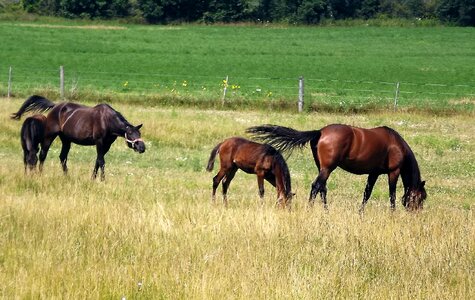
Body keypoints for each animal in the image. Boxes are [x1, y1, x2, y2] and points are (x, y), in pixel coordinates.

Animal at [11, 95, 145, 180]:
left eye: (139, 134)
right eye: (131, 134)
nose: (142, 147)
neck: (107, 120)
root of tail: (55, 106)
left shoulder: (107, 145)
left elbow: (98, 160)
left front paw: (93, 178)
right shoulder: (99, 142)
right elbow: (101, 161)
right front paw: (103, 179)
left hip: (66, 140)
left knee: (62, 157)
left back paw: (67, 176)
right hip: (50, 136)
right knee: (43, 155)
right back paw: (40, 174)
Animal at [249, 123, 428, 210]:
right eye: (422, 197)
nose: (416, 213)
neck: (396, 144)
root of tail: (320, 132)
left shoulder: (374, 173)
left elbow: (367, 193)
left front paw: (360, 213)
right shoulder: (393, 171)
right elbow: (392, 194)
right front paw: (393, 213)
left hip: (322, 167)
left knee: (322, 188)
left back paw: (326, 211)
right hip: (328, 168)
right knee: (316, 186)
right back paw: (310, 209)